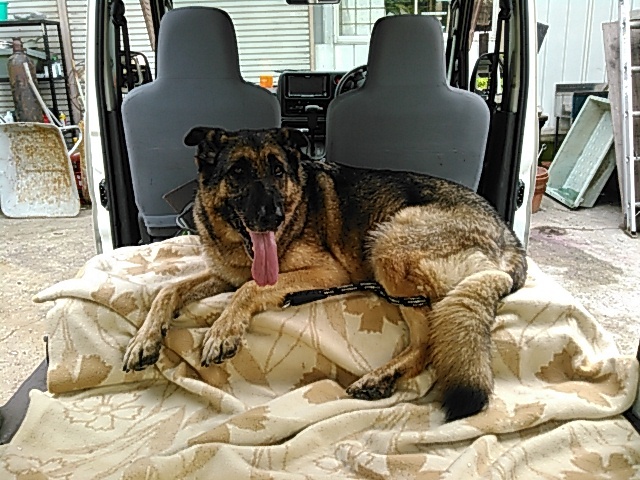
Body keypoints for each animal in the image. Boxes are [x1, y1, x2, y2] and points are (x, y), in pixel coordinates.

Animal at [123, 127, 527, 421]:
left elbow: (249, 288)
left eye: (278, 171)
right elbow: (168, 290)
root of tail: (508, 238)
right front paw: (144, 339)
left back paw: (380, 376)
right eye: (237, 172)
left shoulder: (326, 271)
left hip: (387, 243)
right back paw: (383, 379)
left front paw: (223, 330)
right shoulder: (226, 275)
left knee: (430, 335)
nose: (272, 216)